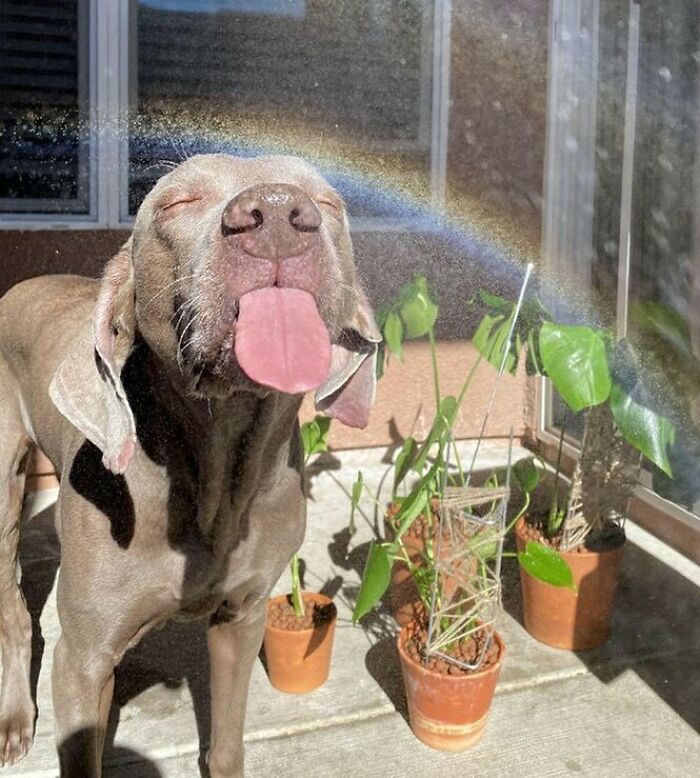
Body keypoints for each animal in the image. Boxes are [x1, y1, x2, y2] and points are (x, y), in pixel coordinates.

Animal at [0, 155, 380, 772]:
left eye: (328, 202)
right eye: (176, 202)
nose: (279, 213)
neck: (215, 475)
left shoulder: (243, 617)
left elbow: (226, 741)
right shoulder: (80, 658)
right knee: (12, 605)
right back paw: (14, 719)